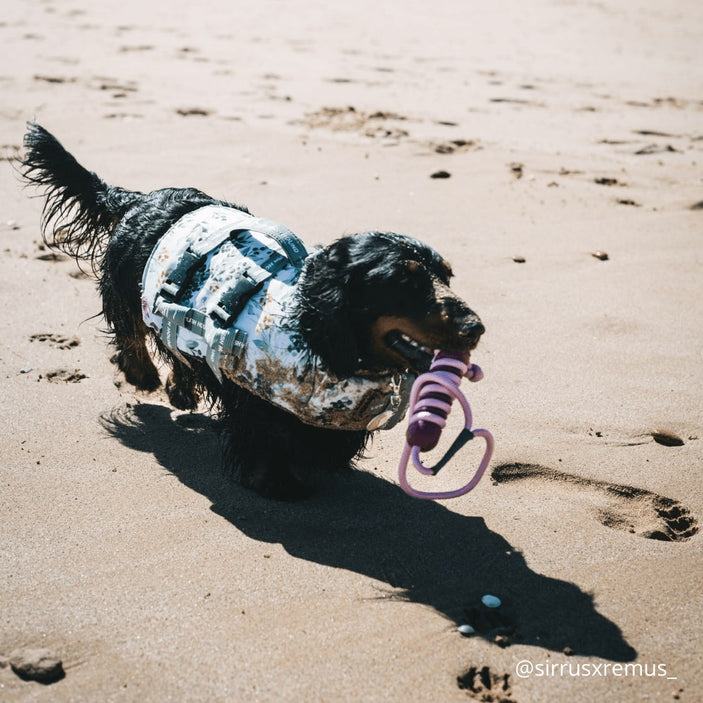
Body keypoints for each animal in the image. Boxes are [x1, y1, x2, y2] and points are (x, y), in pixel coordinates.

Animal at [20, 125, 484, 500]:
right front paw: (277, 485)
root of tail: (142, 199)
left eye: (447, 276)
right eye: (404, 283)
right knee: (130, 328)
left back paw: (181, 388)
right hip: (129, 284)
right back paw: (143, 374)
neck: (316, 338)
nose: (475, 328)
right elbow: (263, 443)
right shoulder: (253, 402)